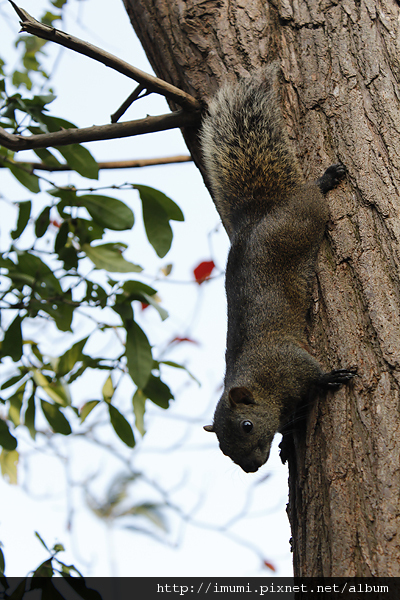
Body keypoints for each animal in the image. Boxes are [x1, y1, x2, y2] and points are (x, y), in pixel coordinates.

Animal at [202, 65, 354, 474]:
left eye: (247, 425)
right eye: (223, 449)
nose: (251, 467)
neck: (261, 382)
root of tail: (260, 212)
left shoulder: (286, 359)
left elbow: (312, 371)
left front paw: (333, 375)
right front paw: (288, 440)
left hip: (304, 216)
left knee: (312, 194)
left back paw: (325, 179)